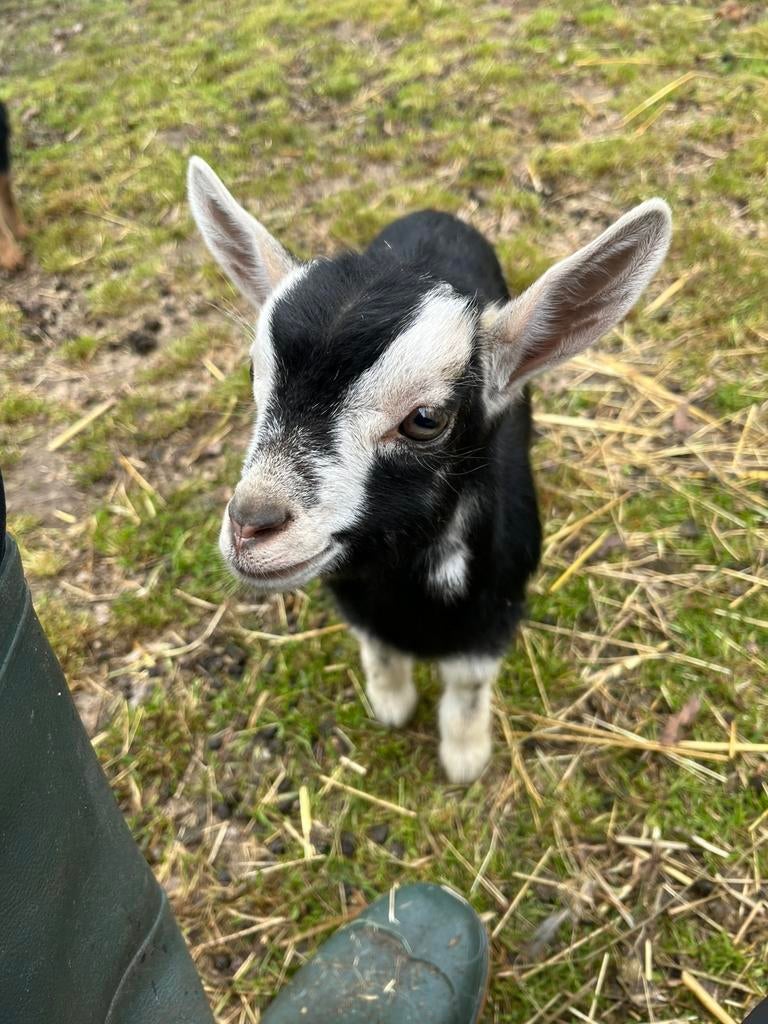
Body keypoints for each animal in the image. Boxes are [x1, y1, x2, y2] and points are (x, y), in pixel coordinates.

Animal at [188, 157, 671, 782]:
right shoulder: (359, 604)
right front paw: (391, 701)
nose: (251, 524)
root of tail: (434, 213)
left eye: (425, 419)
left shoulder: (492, 619)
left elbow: (467, 687)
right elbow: (380, 651)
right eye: (254, 373)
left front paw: (465, 754)